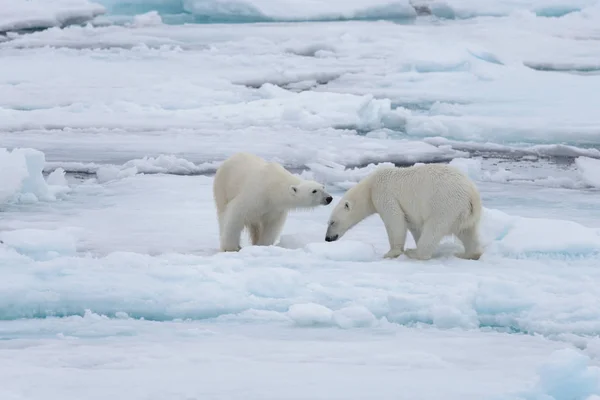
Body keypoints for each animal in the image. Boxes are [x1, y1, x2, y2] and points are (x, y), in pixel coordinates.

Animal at [324, 164, 482, 260]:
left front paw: (391, 252)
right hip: (463, 212)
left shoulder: (384, 194)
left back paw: (414, 253)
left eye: (332, 222)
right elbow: (413, 225)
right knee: (467, 232)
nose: (327, 238)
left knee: (433, 228)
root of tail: (472, 193)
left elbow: (395, 221)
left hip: (444, 205)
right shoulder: (410, 210)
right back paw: (467, 254)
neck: (369, 187)